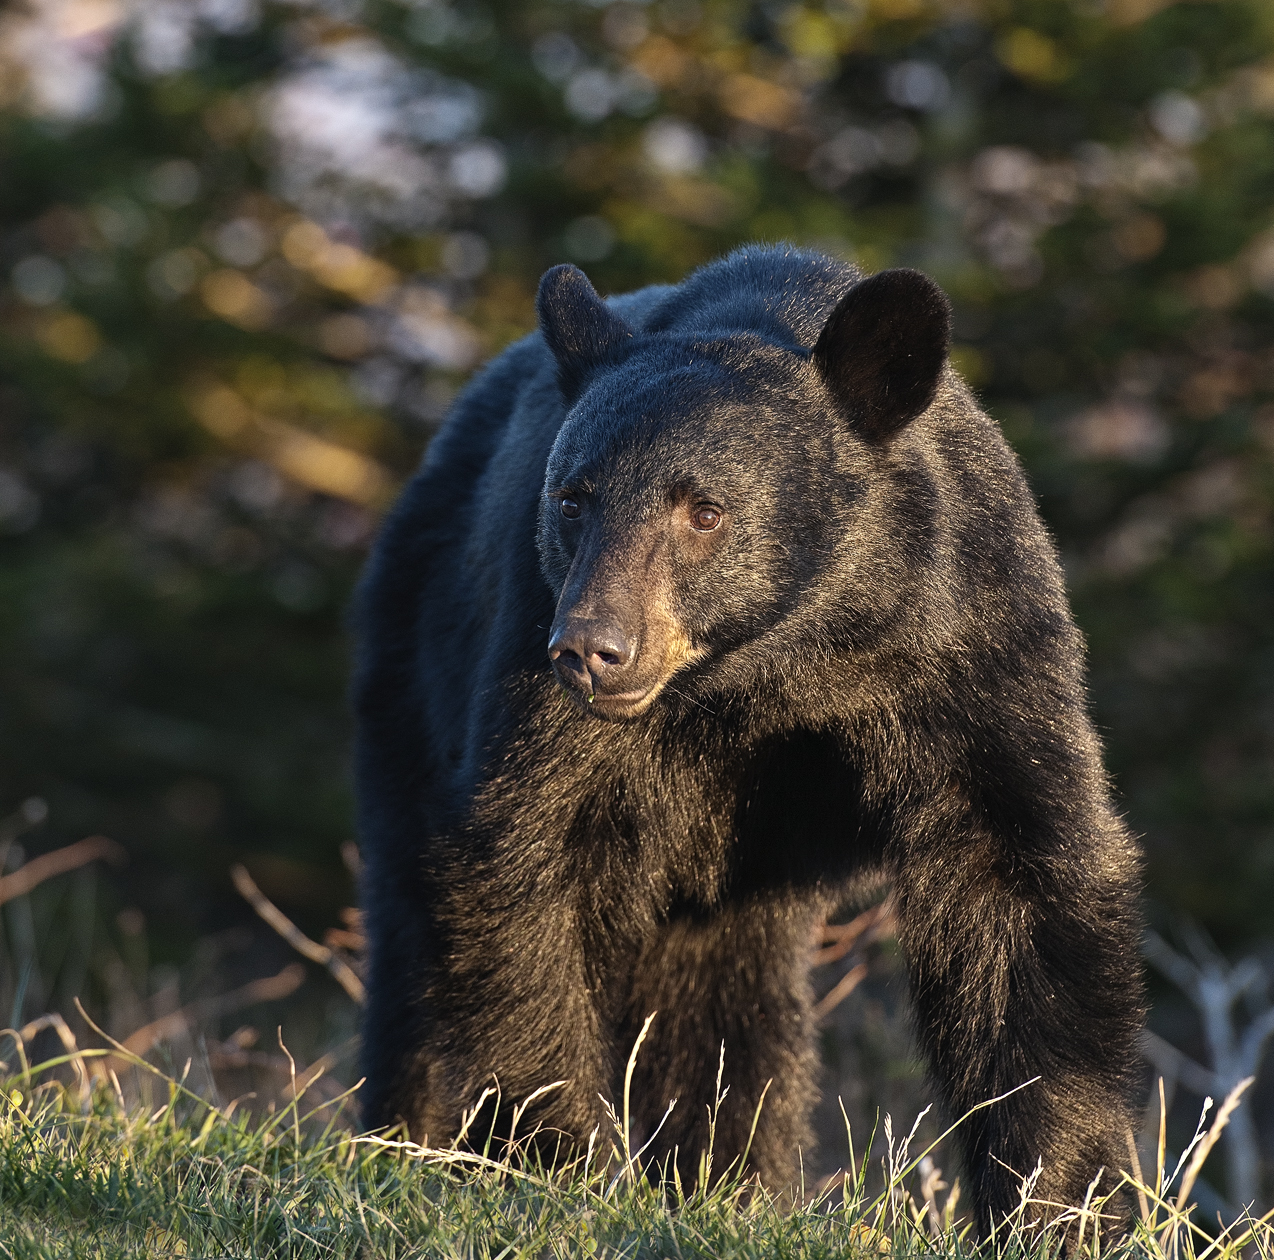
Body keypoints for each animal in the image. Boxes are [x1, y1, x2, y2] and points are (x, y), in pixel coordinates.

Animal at [352, 245, 1144, 1236]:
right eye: (573, 497)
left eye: (704, 509)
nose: (592, 649)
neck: (780, 661)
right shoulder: (533, 669)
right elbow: (518, 867)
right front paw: (562, 1164)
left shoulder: (970, 650)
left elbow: (1021, 882)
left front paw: (1064, 1202)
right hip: (414, 659)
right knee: (409, 931)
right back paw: (401, 1143)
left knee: (723, 995)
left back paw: (729, 1180)